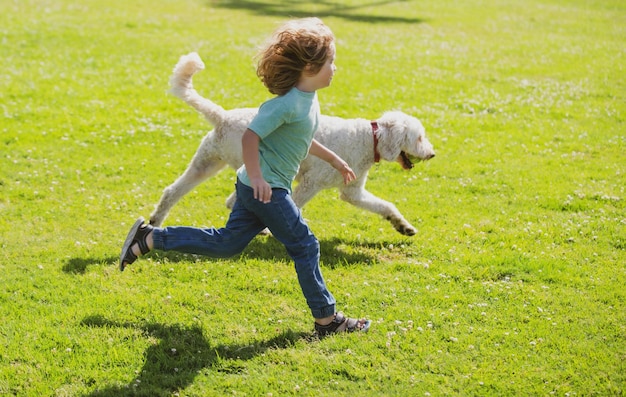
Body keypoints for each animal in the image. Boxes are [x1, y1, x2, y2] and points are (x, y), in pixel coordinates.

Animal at [150, 54, 434, 237]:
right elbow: (294, 206)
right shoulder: (311, 184)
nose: (432, 154)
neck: (366, 139)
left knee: (176, 192)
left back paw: (155, 220)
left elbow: (386, 206)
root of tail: (223, 116)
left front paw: (403, 226)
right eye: (419, 137)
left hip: (207, 163)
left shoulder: (352, 193)